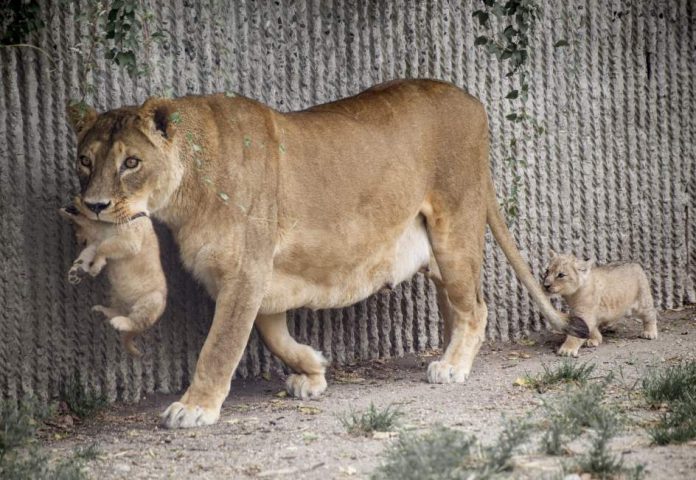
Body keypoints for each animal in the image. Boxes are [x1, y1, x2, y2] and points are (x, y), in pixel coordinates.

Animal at [59, 197, 167, 356]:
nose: (79, 241)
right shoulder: (97, 239)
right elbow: (89, 252)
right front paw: (77, 272)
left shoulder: (129, 241)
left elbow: (102, 247)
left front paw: (94, 268)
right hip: (116, 294)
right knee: (118, 311)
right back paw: (102, 312)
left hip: (152, 300)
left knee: (137, 322)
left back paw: (120, 322)